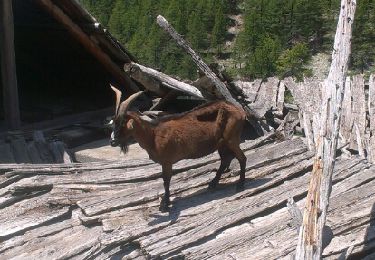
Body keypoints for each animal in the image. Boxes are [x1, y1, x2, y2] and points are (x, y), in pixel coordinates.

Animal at [110, 86, 248, 211]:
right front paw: (165, 202)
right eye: (114, 123)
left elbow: (166, 181)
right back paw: (213, 184)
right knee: (225, 160)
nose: (112, 141)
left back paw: (240, 185)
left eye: (122, 123)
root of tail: (240, 111)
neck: (153, 135)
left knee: (242, 158)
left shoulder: (167, 161)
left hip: (232, 139)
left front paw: (164, 205)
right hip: (221, 143)